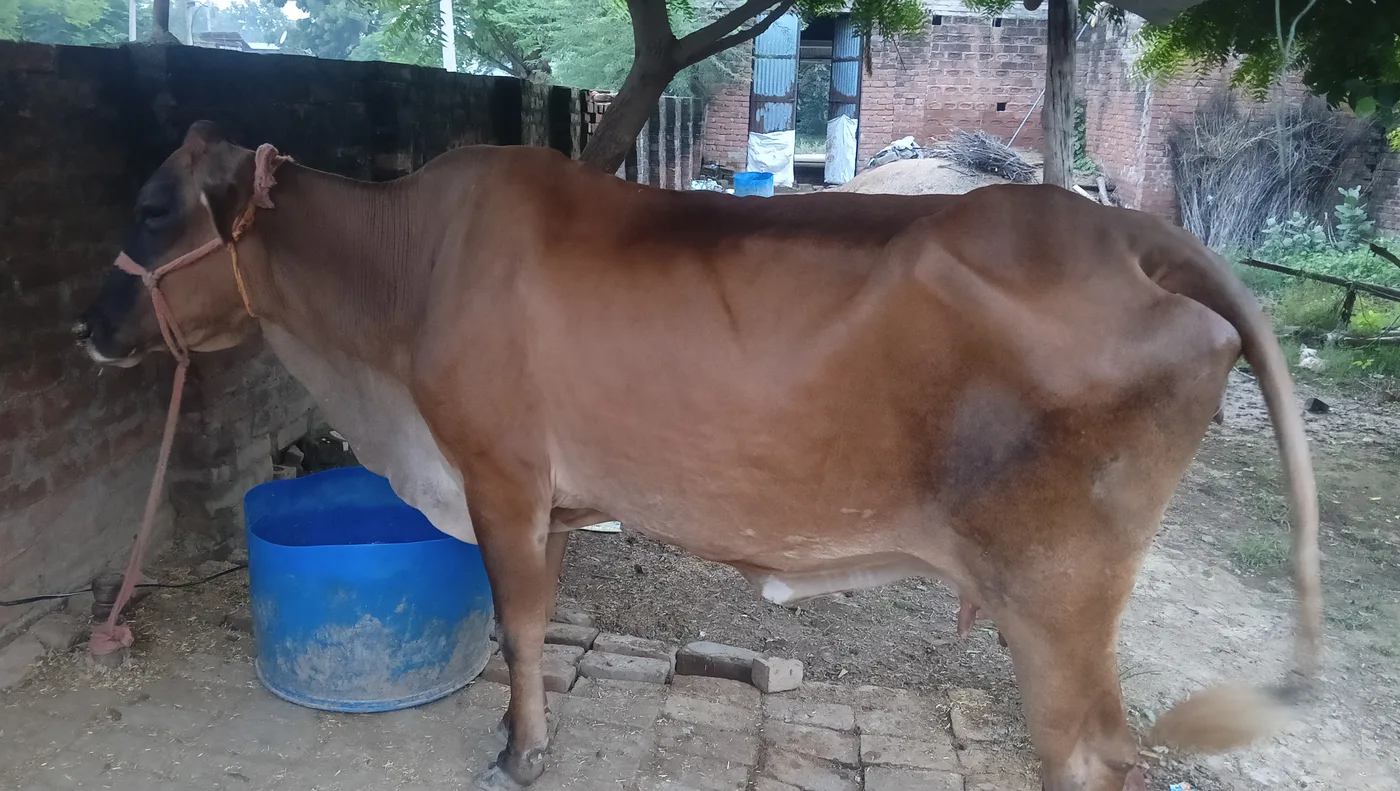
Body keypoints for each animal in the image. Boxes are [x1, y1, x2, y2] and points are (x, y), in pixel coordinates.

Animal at [77, 122, 1320, 791]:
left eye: (153, 205)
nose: (87, 323)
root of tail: (1123, 230)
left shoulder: (498, 479)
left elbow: (517, 625)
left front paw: (518, 754)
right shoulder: (550, 500)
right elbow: (532, 626)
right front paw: (518, 731)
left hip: (1059, 596)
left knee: (1095, 755)